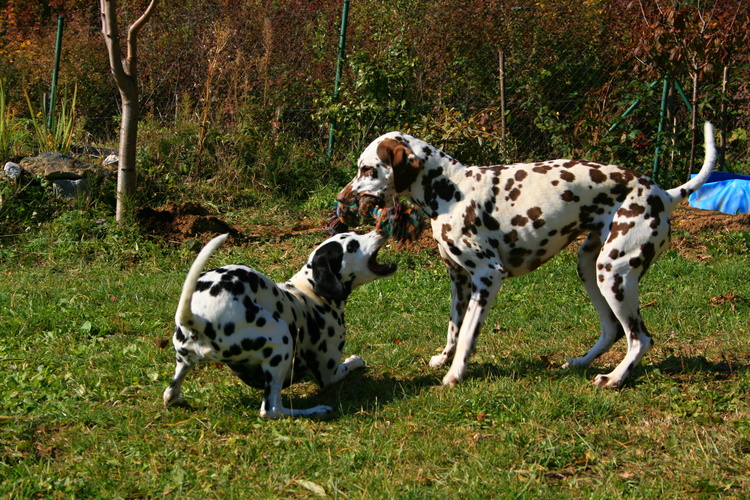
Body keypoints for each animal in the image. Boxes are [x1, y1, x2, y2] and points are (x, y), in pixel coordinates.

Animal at [163, 230, 400, 418]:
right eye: (351, 246)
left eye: (356, 233)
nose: (380, 229)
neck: (310, 291)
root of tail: (195, 318)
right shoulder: (329, 373)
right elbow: (347, 366)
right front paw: (354, 361)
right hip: (282, 339)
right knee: (271, 410)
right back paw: (314, 410)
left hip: (183, 362)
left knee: (169, 394)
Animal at [340, 121, 716, 386]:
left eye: (368, 169)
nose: (343, 198)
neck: (451, 189)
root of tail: (664, 194)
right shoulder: (459, 280)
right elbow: (453, 329)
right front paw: (444, 359)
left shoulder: (488, 277)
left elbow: (467, 334)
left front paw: (455, 373)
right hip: (590, 268)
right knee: (612, 329)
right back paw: (580, 363)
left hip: (614, 273)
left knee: (640, 339)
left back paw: (614, 379)